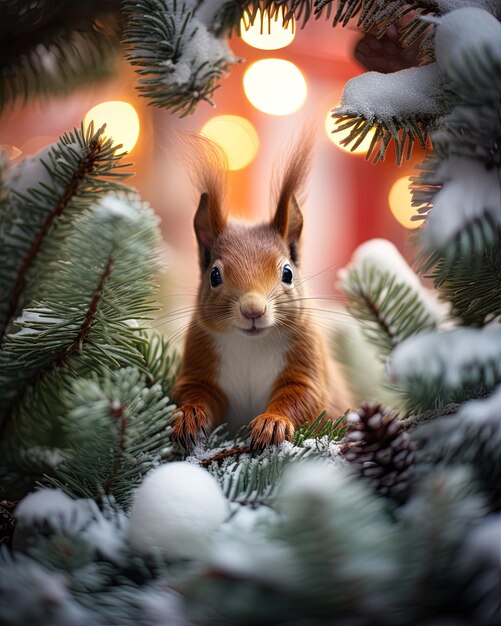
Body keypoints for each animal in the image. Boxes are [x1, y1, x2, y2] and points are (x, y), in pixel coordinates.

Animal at [172, 133, 352, 448]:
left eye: (288, 273)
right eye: (214, 276)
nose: (253, 310)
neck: (251, 345)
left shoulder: (306, 363)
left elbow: (303, 397)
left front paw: (272, 423)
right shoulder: (199, 364)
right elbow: (195, 392)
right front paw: (188, 416)